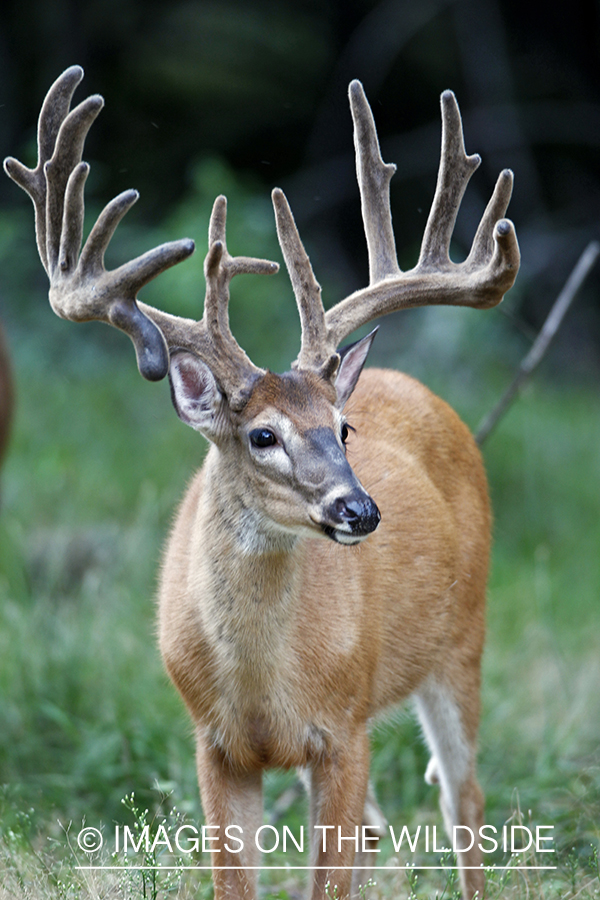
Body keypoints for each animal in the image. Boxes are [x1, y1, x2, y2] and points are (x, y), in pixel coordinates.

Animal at [4, 67, 516, 896]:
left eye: (343, 428)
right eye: (263, 435)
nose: (359, 509)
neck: (262, 687)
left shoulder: (343, 726)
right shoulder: (214, 744)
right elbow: (238, 880)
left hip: (463, 640)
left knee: (462, 798)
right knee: (384, 826)